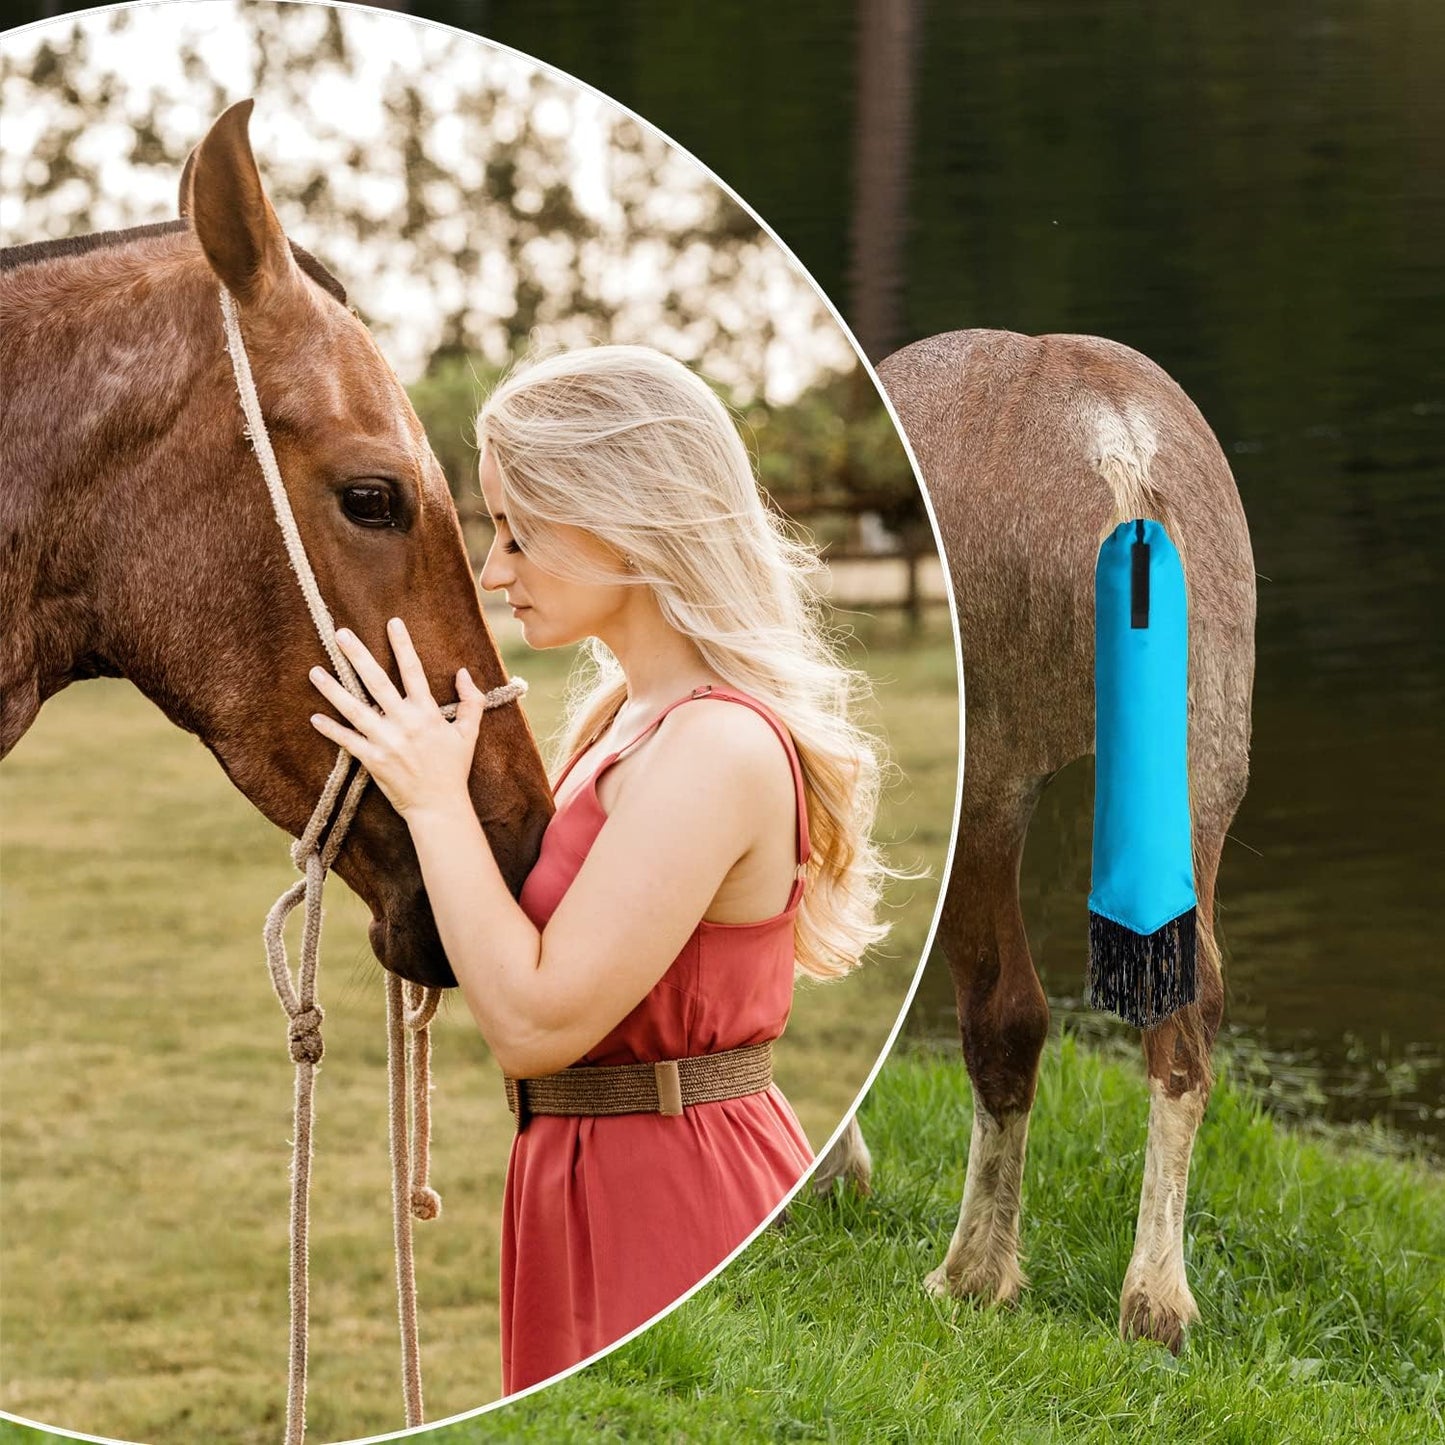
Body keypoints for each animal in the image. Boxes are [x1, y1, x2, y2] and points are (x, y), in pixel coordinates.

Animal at [819, 328, 1255, 1354]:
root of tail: (1121, 453)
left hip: (990, 797)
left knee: (1005, 1012)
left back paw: (972, 1273)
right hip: (1202, 781)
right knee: (1187, 1010)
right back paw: (1157, 1300)